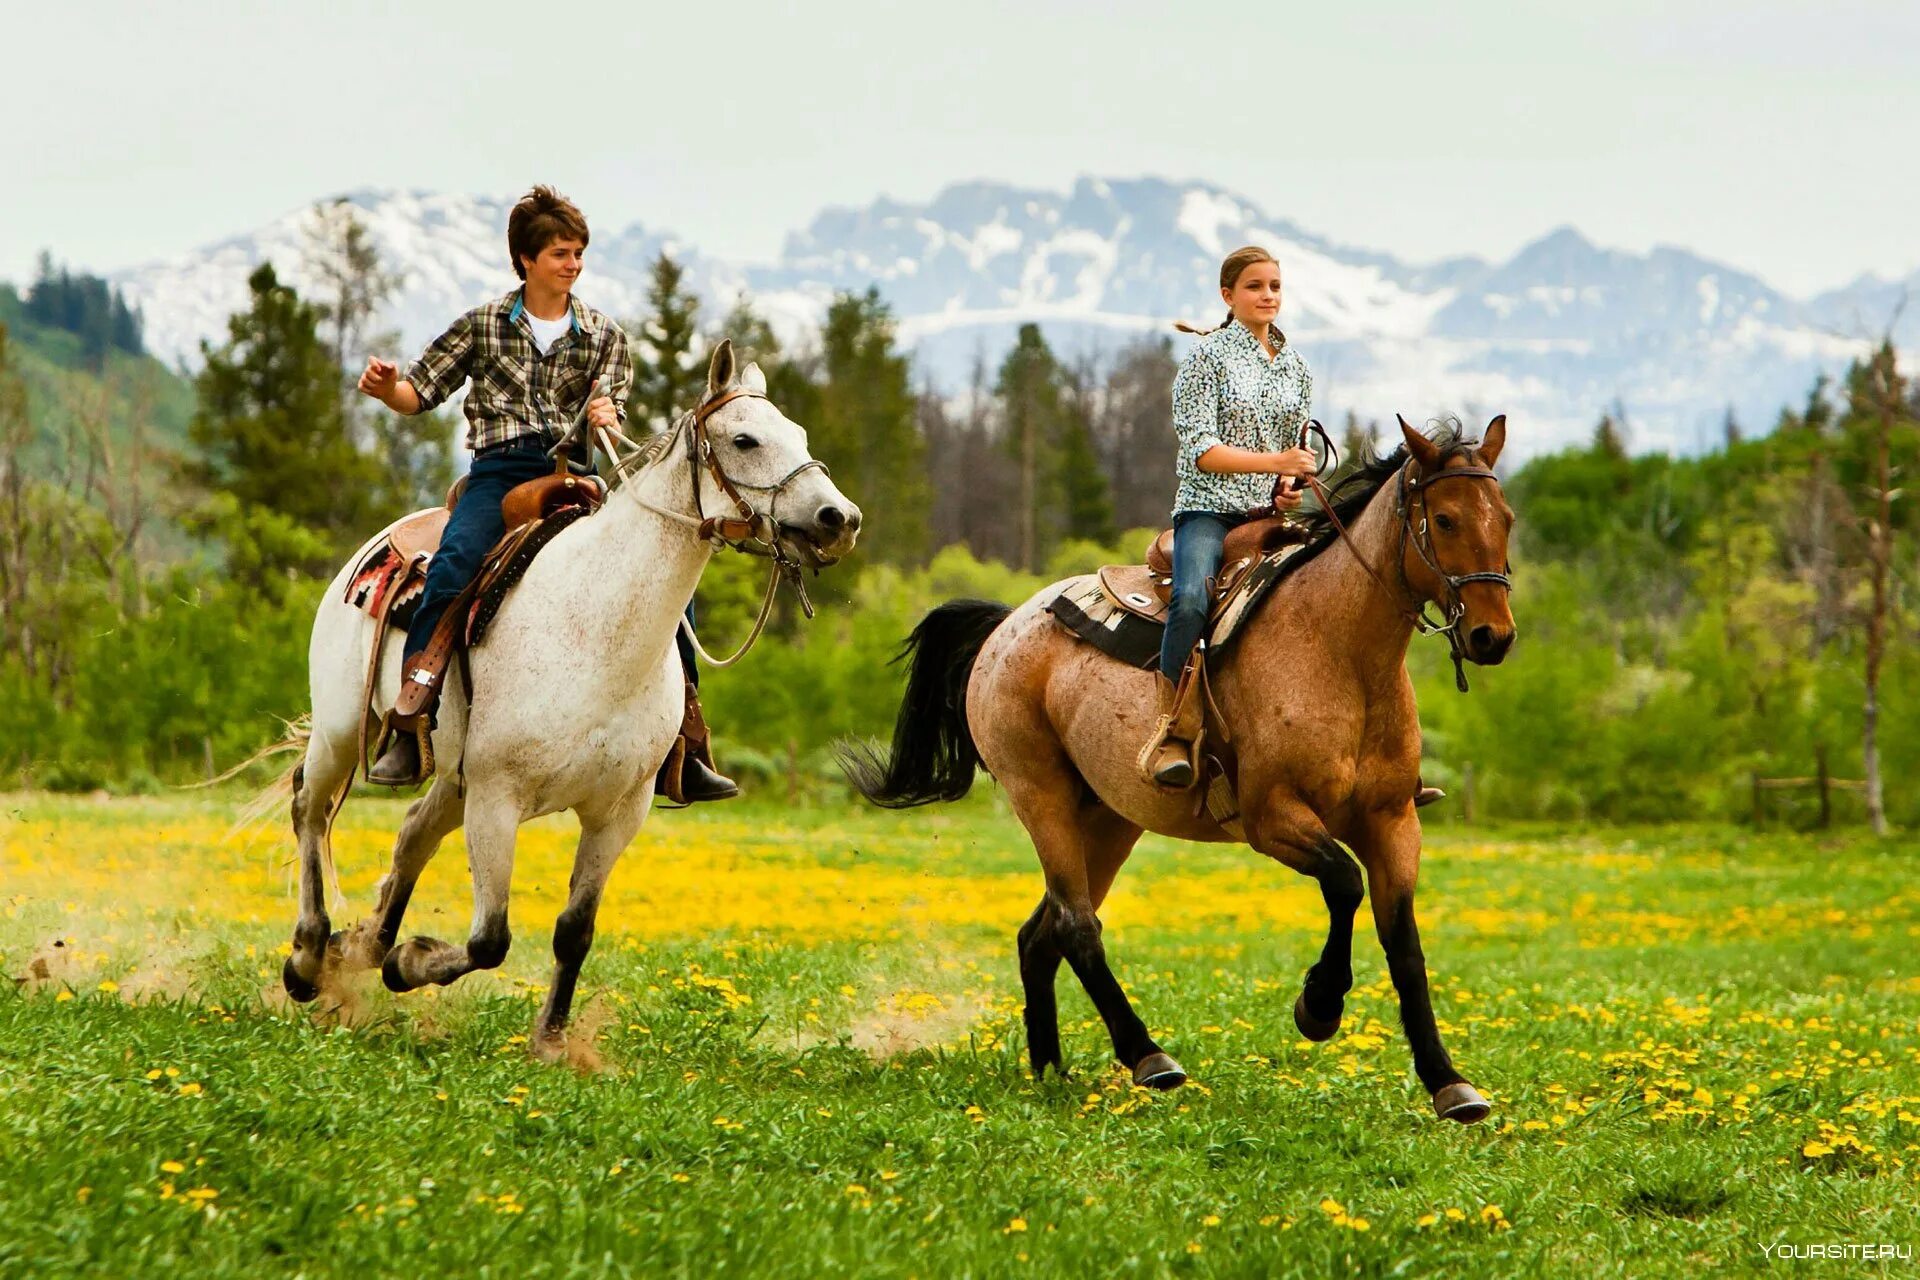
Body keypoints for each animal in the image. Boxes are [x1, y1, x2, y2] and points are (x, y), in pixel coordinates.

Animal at [280, 339, 864, 1051]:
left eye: (799, 434)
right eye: (745, 439)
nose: (839, 519)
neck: (597, 628)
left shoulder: (618, 812)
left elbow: (574, 932)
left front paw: (551, 1042)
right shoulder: (498, 797)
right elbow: (491, 939)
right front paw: (410, 961)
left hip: (453, 779)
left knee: (413, 833)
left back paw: (358, 945)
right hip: (344, 731)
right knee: (310, 808)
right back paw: (310, 957)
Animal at [840, 418, 1512, 1120]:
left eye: (1507, 519)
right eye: (1444, 519)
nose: (1493, 636)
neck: (1339, 654)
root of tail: (1007, 627)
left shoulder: (1393, 820)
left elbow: (1403, 941)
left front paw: (1448, 1082)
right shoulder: (1273, 818)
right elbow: (1344, 882)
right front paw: (1319, 1006)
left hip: (1107, 819)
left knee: (1040, 933)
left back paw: (1050, 1070)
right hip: (1040, 796)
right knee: (1077, 926)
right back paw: (1148, 1057)